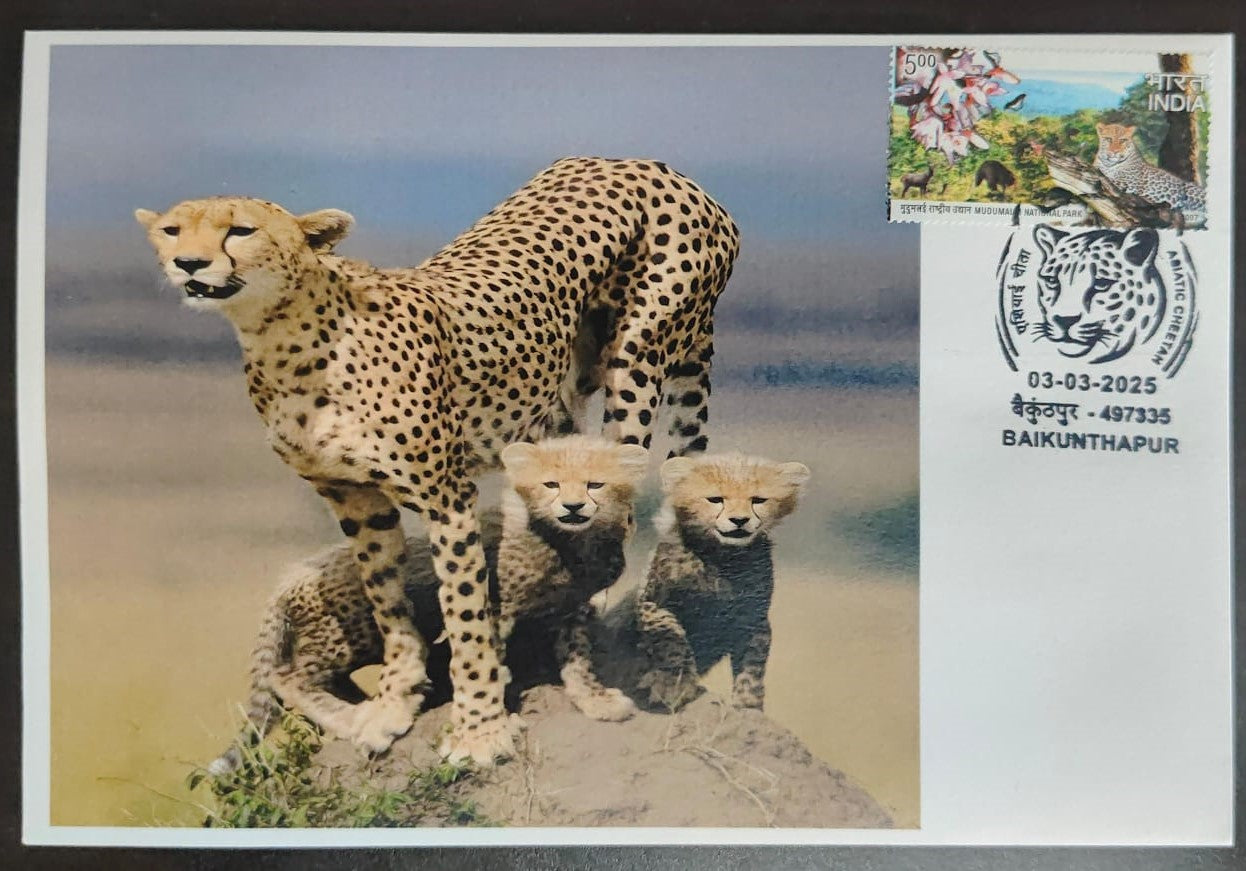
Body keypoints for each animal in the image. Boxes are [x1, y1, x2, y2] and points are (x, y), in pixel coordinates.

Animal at [208, 435, 645, 775]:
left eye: (595, 484)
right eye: (550, 484)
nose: (573, 507)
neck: (570, 542)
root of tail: (296, 570)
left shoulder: (574, 610)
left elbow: (578, 660)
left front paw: (596, 700)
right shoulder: (497, 608)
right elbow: (485, 662)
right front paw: (492, 725)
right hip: (352, 631)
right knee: (288, 677)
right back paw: (354, 720)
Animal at [629, 451, 810, 712]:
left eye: (758, 500)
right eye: (715, 499)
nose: (739, 520)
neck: (723, 557)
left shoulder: (752, 617)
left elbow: (753, 660)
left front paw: (748, 703)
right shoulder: (653, 603)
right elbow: (671, 637)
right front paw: (675, 684)